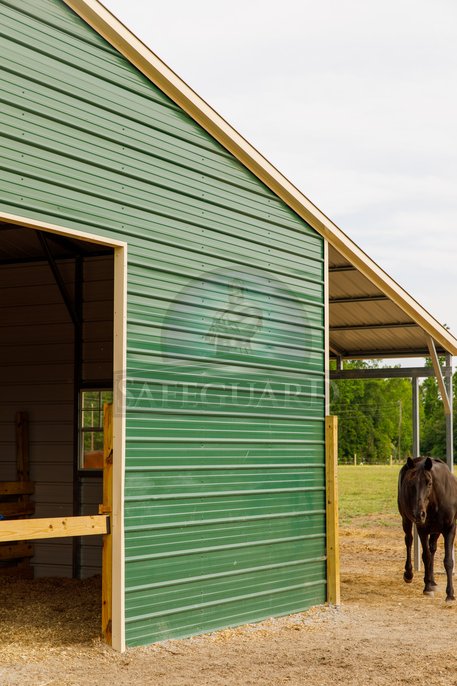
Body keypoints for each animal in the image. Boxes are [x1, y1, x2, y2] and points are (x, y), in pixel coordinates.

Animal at [396, 460, 456, 604]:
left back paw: (432, 581)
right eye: (411, 484)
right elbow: (426, 556)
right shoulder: (422, 529)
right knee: (409, 540)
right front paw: (427, 587)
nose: (419, 514)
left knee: (432, 548)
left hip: (436, 531)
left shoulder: (450, 529)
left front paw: (450, 594)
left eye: (429, 483)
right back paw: (409, 574)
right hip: (406, 520)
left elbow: (448, 561)